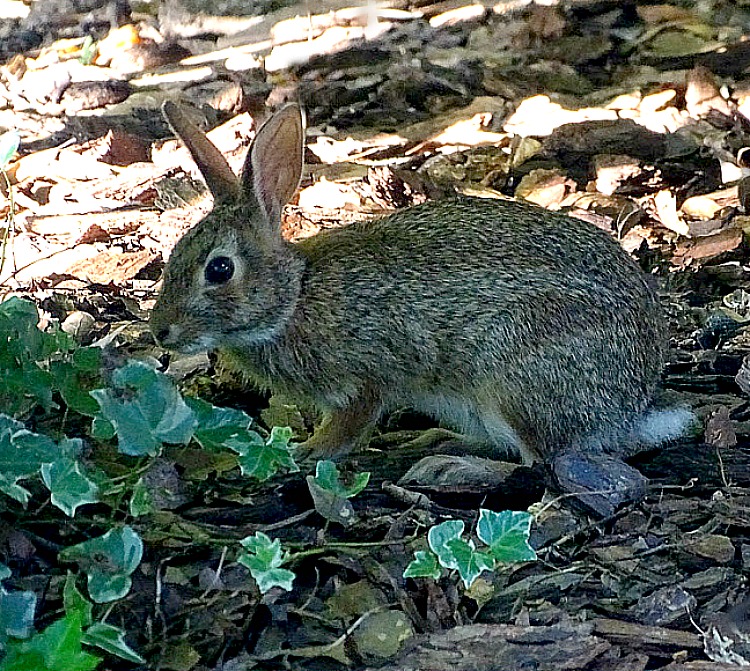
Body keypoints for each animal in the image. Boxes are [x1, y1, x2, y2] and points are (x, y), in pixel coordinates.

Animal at [150, 101, 692, 503]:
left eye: (219, 270)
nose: (160, 331)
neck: (296, 296)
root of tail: (630, 410)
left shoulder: (366, 379)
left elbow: (346, 428)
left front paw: (303, 451)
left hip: (516, 379)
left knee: (540, 462)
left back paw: (447, 466)